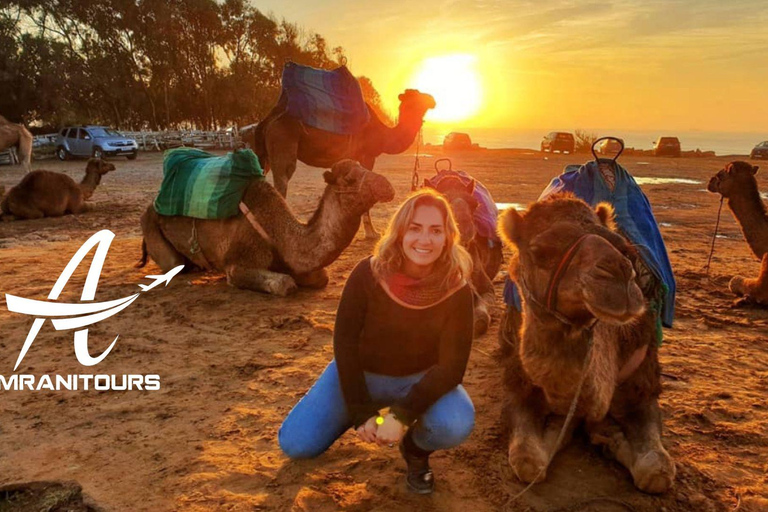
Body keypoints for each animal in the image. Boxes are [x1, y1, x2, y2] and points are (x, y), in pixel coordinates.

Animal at [136, 160, 396, 296]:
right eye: (350, 178)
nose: (387, 185)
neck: (280, 234)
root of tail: (150, 207)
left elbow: (321, 277)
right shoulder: (239, 262)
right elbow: (285, 284)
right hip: (153, 231)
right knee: (173, 264)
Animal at [249, 89, 436, 238]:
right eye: (416, 96)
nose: (432, 100)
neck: (382, 134)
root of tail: (268, 120)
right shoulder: (366, 156)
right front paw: (371, 233)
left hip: (265, 155)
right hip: (283, 140)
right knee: (282, 180)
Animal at [498, 194, 672, 494]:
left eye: (622, 247)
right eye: (540, 252)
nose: (619, 277)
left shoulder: (642, 386)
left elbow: (657, 471)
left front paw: (608, 435)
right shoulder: (519, 384)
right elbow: (528, 462)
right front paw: (568, 429)